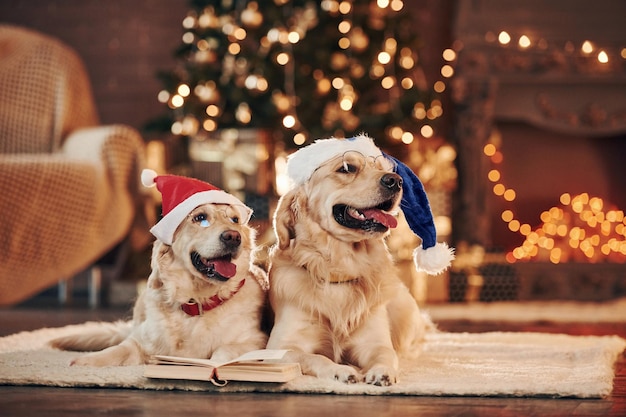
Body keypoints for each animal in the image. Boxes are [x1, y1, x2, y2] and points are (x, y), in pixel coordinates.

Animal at [49, 169, 268, 364]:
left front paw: (215, 366)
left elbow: (224, 351)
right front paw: (85, 361)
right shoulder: (141, 340)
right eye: (200, 218)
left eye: (235, 220)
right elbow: (118, 349)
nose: (233, 237)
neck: (196, 302)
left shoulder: (257, 339)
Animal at [264, 133, 454, 384]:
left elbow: (384, 354)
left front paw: (382, 372)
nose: (396, 181)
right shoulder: (279, 348)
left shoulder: (373, 342)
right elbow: (316, 357)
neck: (339, 269)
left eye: (382, 168)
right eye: (347, 168)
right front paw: (340, 370)